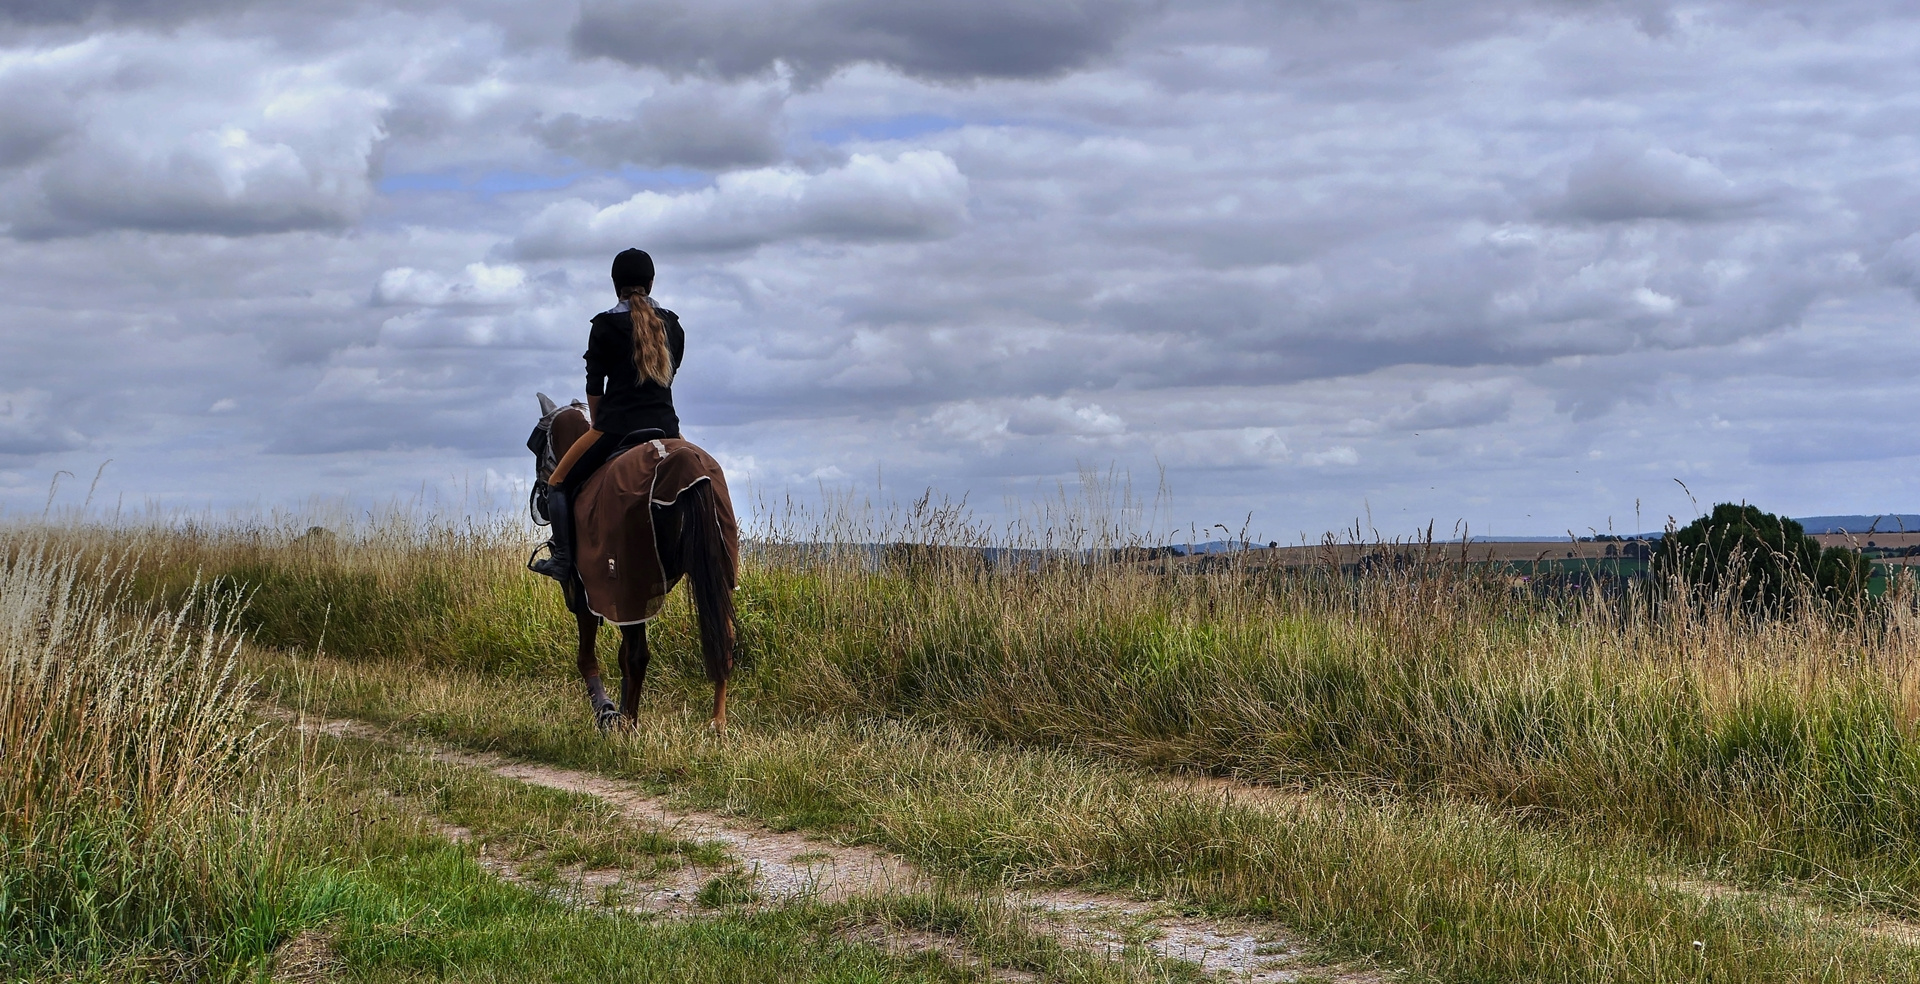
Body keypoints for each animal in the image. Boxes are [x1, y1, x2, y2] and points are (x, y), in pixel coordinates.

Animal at [529, 392, 737, 730]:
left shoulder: (587, 590)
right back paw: (717, 722)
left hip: (627, 581)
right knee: (724, 640)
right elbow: (622, 656)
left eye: (535, 445)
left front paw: (606, 710)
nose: (540, 501)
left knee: (638, 655)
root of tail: (685, 467)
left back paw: (629, 725)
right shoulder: (627, 600)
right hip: (712, 576)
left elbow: (589, 656)